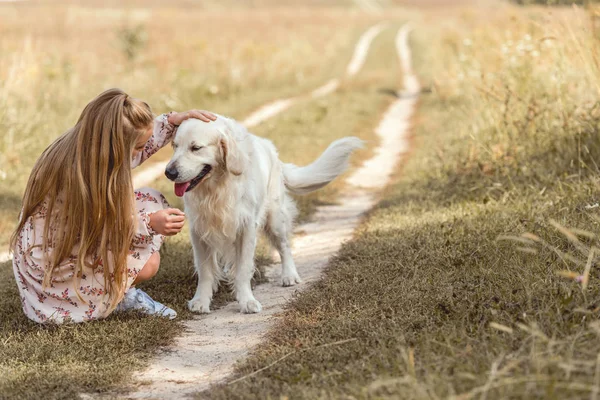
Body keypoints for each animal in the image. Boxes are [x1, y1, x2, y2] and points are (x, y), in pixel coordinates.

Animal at [164, 115, 360, 312]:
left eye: (196, 148)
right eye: (175, 145)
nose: (169, 172)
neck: (217, 188)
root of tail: (271, 150)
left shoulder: (246, 227)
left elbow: (243, 269)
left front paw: (247, 301)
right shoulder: (199, 228)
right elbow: (205, 271)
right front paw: (201, 301)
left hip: (275, 219)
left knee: (285, 246)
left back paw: (289, 275)